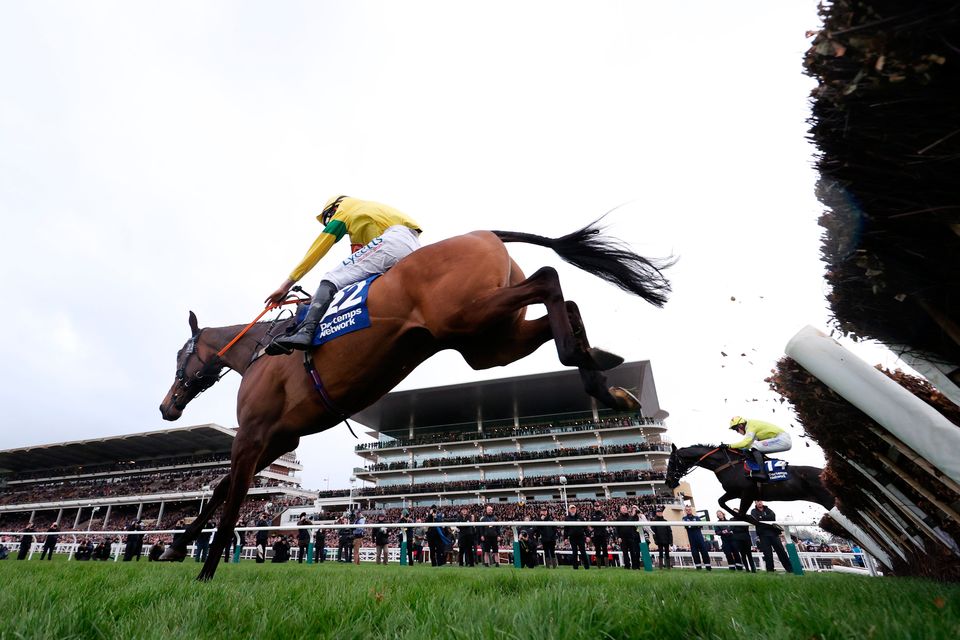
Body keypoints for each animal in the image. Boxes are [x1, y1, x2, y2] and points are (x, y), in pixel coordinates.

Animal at [158, 221, 672, 580]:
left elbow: (230, 502)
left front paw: (205, 571)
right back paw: (603, 376)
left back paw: (589, 366)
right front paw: (174, 546)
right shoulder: (276, 439)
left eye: (181, 355)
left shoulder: (253, 434)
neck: (260, 350)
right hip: (489, 341)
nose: (167, 406)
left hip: (465, 317)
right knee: (558, 306)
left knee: (549, 278)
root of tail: (484, 232)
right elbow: (221, 492)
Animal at [668, 444, 832, 524]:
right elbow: (722, 502)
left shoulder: (747, 493)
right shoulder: (734, 492)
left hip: (829, 501)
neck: (728, 464)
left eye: (670, 461)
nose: (668, 480)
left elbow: (741, 513)